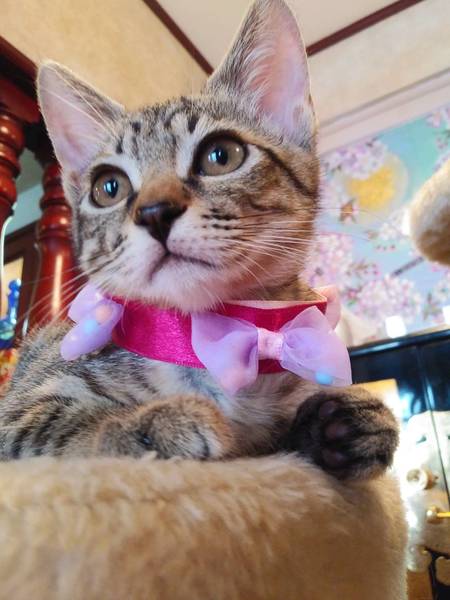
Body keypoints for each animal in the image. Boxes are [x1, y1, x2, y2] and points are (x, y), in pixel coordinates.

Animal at [0, 0, 398, 479]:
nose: (154, 211)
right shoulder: (16, 411)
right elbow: (61, 424)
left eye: (220, 155)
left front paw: (343, 422)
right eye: (108, 187)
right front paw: (147, 424)